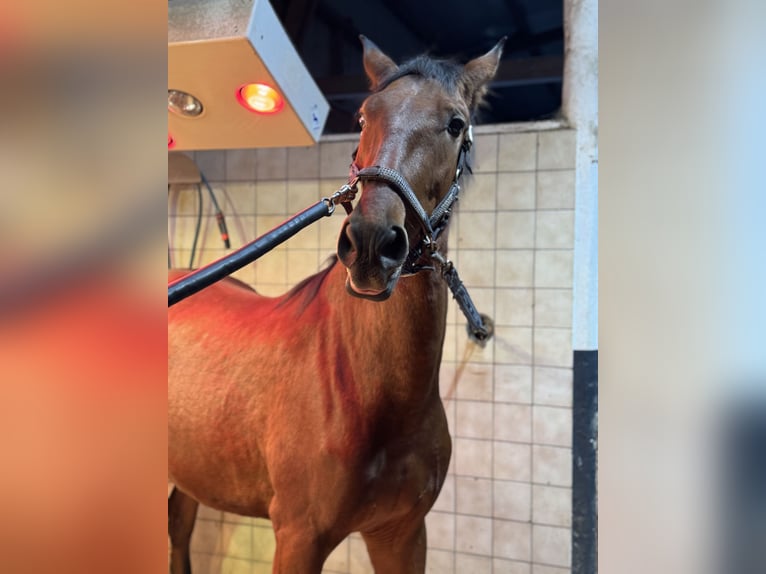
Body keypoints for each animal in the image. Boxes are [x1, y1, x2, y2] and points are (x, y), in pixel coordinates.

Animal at [168, 35, 504, 574]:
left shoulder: (402, 534)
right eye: (364, 117)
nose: (370, 244)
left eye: (455, 123)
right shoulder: (299, 537)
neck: (369, 395)